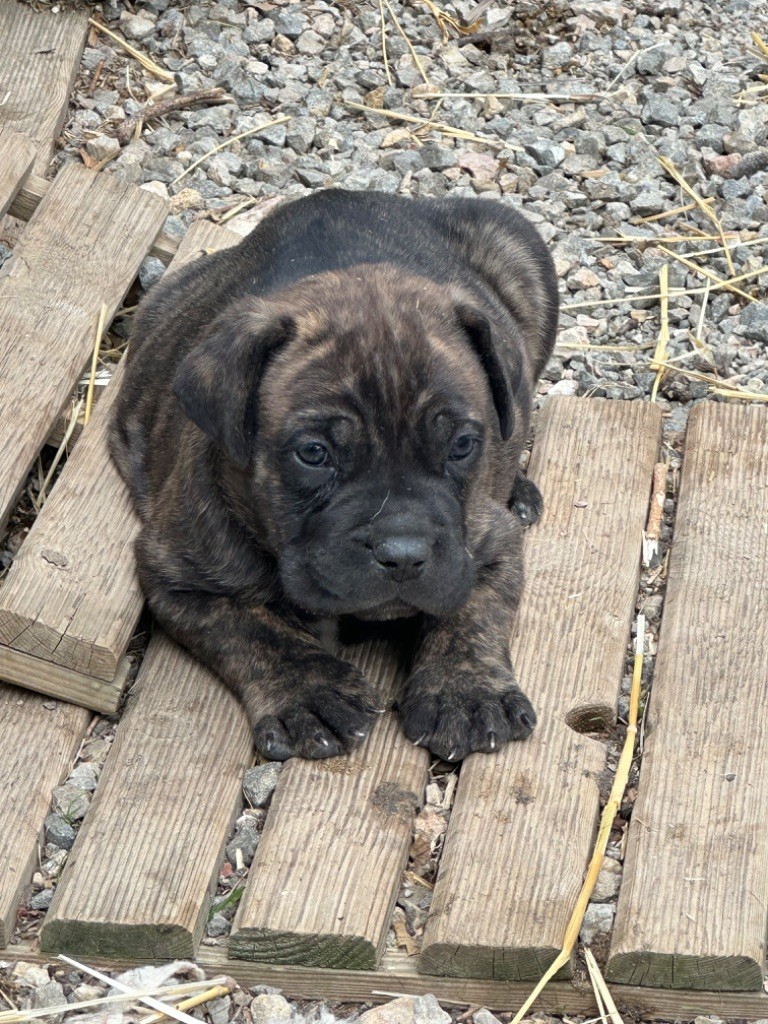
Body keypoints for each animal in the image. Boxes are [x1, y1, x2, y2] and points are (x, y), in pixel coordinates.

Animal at [111, 186, 561, 761]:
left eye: (462, 445)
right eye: (314, 453)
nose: (403, 555)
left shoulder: (488, 542)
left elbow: (472, 609)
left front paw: (465, 689)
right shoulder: (177, 573)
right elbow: (255, 629)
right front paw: (312, 692)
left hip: (517, 245)